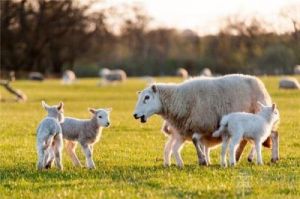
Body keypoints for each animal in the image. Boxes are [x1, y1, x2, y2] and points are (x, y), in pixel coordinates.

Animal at [135, 74, 280, 166]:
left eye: (147, 97)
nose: (135, 115)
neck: (179, 99)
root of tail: (259, 82)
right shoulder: (196, 127)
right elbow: (198, 142)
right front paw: (204, 160)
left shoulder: (201, 124)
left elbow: (195, 141)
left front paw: (202, 160)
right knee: (248, 139)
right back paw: (239, 156)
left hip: (260, 118)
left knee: (273, 134)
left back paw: (272, 157)